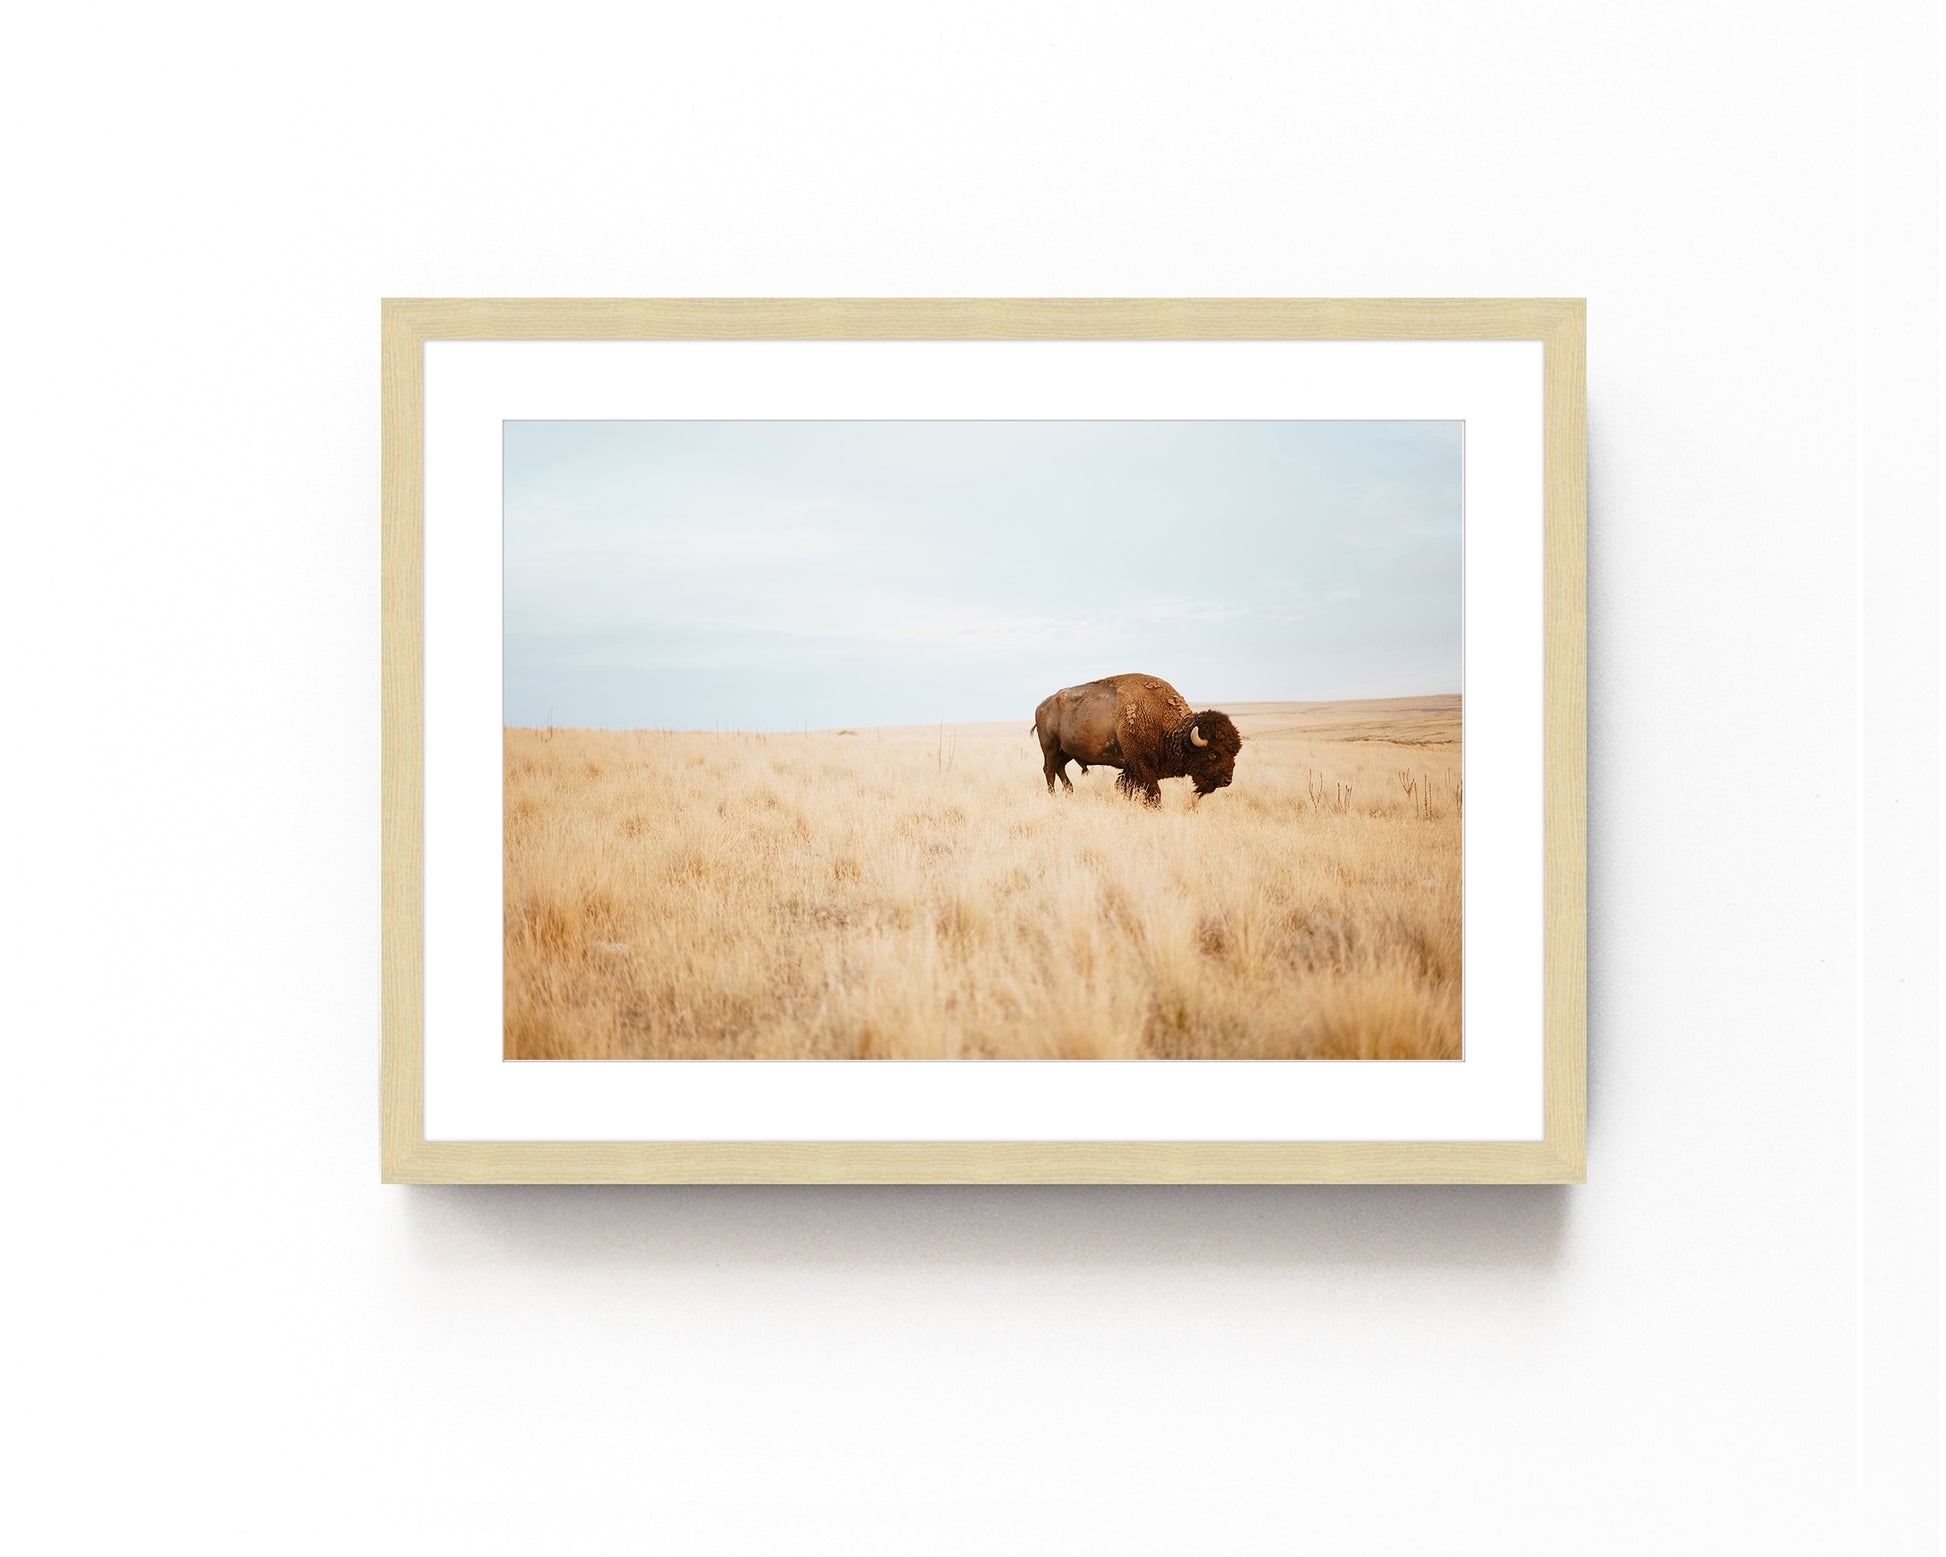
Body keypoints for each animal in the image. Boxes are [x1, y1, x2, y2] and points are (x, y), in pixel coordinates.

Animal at [1035, 673, 1245, 809]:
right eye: (1213, 754)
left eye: (1234, 753)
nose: (1227, 780)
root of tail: (1041, 705)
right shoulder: (1141, 764)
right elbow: (1153, 792)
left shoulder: (1131, 769)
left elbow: (1130, 788)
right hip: (1051, 748)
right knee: (1049, 771)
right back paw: (1054, 797)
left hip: (1066, 752)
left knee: (1059, 769)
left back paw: (1070, 793)